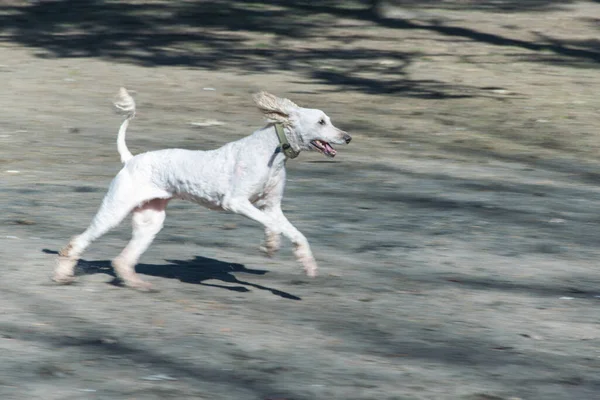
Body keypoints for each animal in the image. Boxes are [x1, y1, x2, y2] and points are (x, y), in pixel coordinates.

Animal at [55, 88, 352, 290]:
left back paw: (136, 283)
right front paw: (271, 244)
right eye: (321, 122)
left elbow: (297, 235)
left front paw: (306, 264)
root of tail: (131, 159)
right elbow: (275, 226)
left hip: (150, 220)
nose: (348, 137)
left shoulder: (271, 205)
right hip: (115, 210)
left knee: (122, 259)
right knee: (77, 242)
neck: (273, 149)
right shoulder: (237, 202)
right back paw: (62, 274)